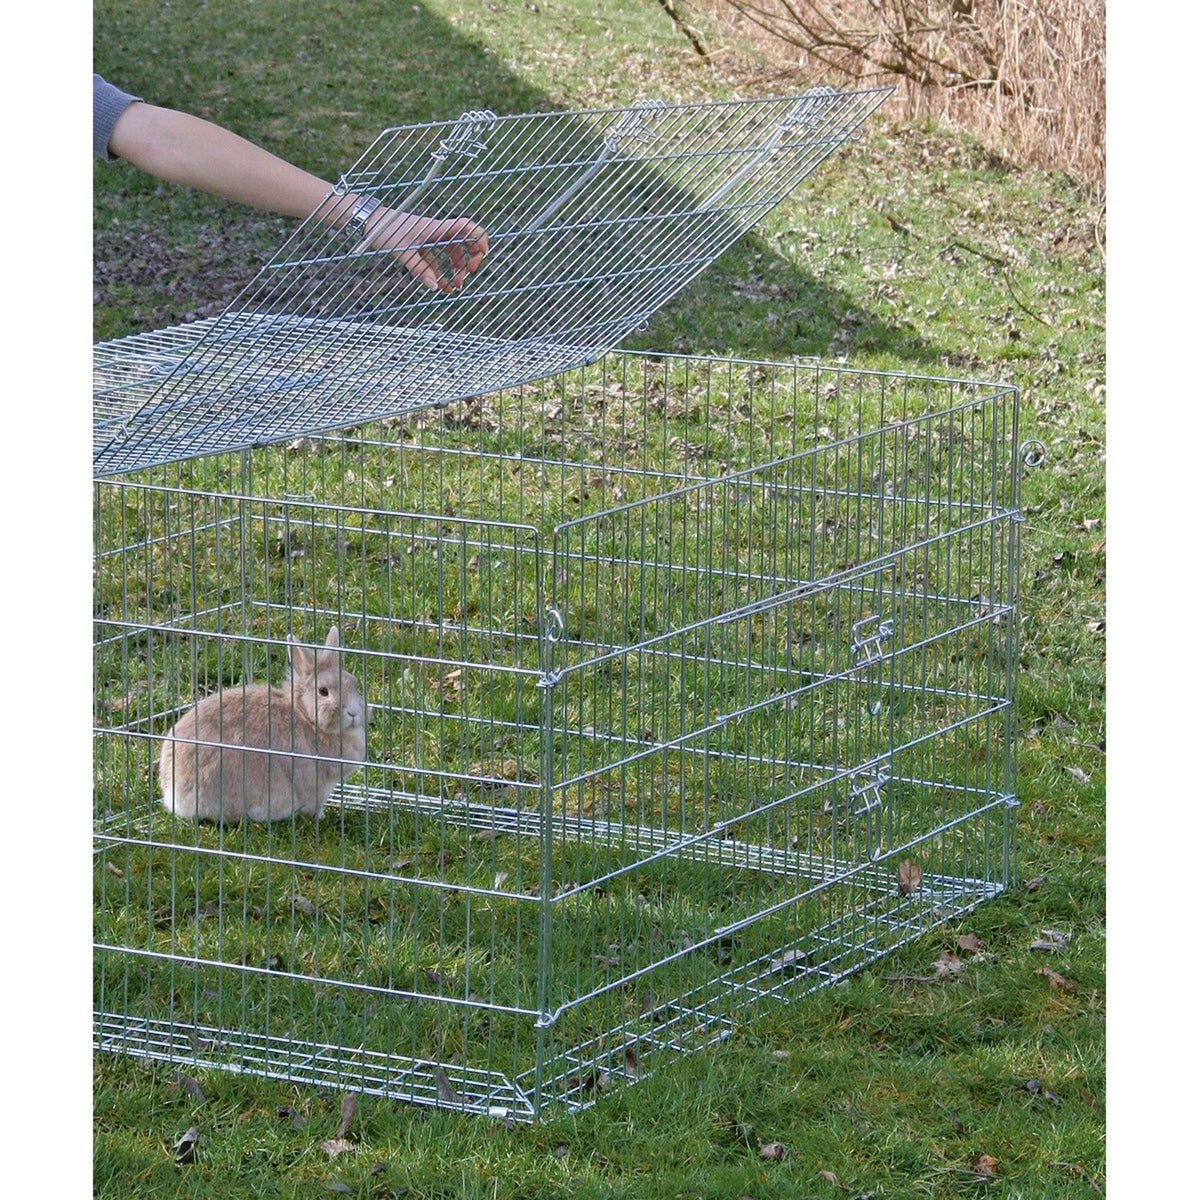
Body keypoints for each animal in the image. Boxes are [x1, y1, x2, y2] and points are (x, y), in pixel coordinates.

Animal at [158, 626, 369, 823]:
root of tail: (174, 794)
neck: (307, 718)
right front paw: (321, 817)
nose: (354, 713)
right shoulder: (317, 788)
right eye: (323, 691)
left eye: (353, 683)